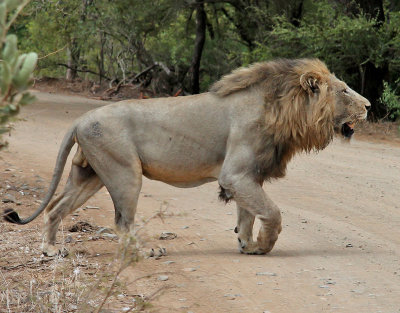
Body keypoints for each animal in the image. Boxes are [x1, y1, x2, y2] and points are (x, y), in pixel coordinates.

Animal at [3, 58, 372, 256]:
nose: (369, 106)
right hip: (124, 173)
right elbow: (272, 213)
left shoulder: (247, 177)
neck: (284, 110)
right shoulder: (235, 174)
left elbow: (248, 214)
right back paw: (146, 251)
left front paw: (247, 244)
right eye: (344, 90)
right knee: (122, 221)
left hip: (90, 175)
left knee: (55, 207)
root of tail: (80, 119)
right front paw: (264, 245)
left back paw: (51, 249)